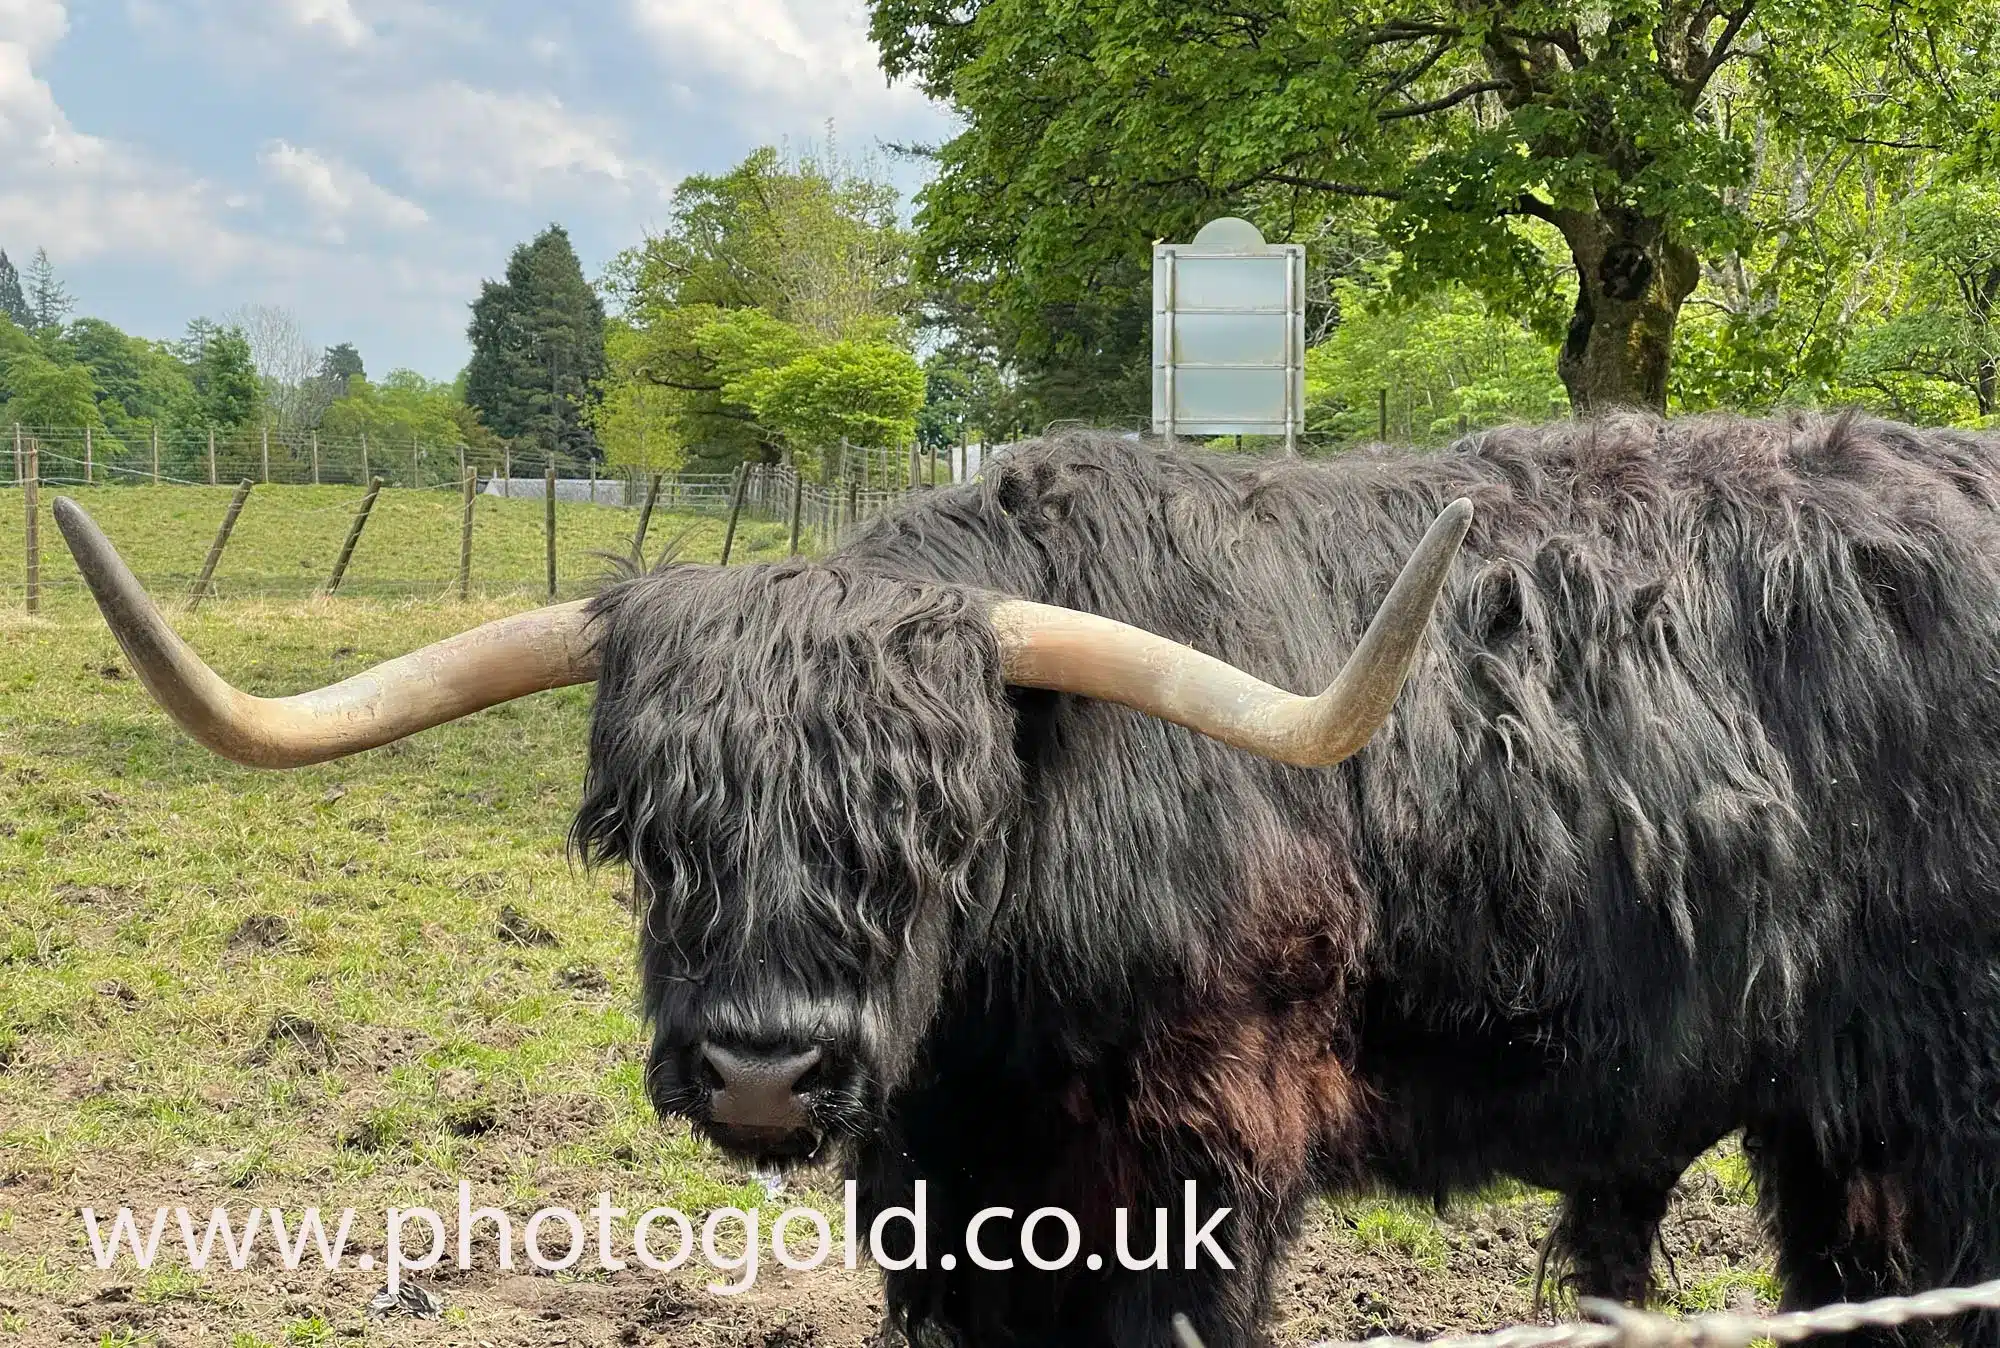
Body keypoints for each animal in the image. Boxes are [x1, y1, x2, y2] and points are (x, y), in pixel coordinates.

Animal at [53, 412, 2000, 1348]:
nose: (763, 1066)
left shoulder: (1201, 1160)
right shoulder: (954, 1192)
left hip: (1929, 1107)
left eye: (935, 824)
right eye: (650, 825)